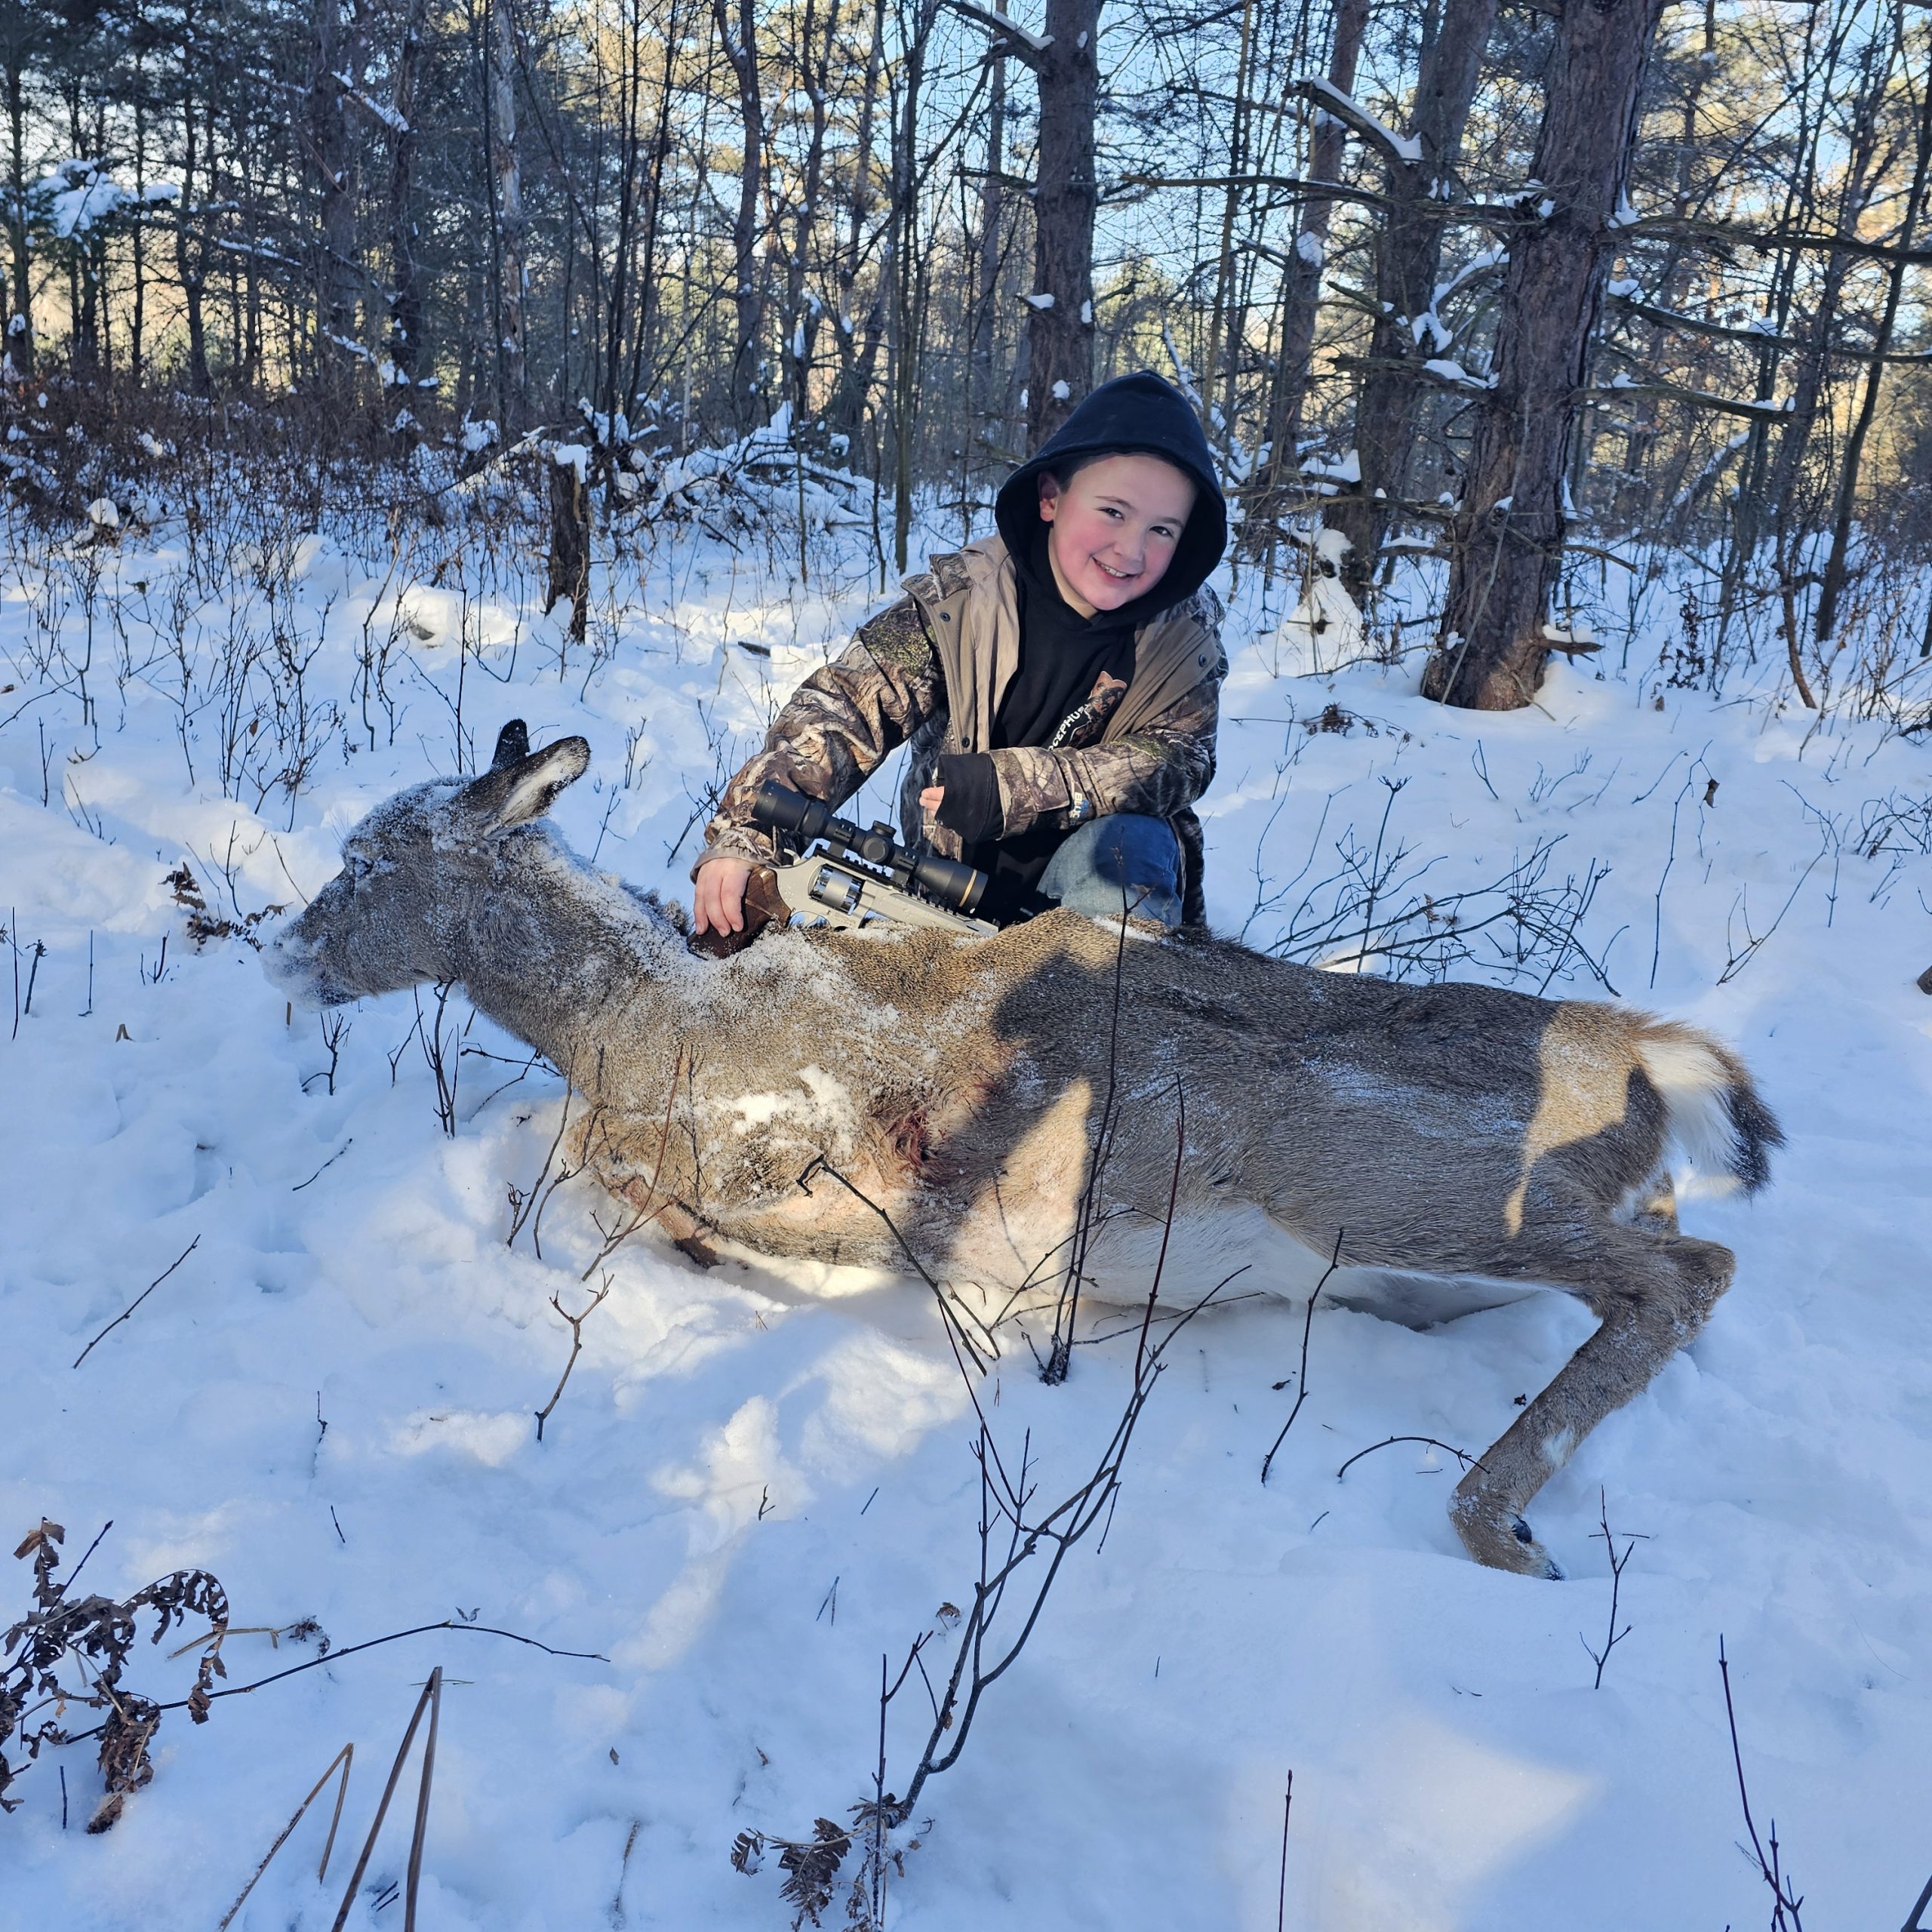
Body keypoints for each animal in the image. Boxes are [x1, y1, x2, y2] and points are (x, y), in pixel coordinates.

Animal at [266, 722, 1782, 1579]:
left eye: (369, 857)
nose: (278, 951)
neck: (633, 1020)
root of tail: (1654, 1057)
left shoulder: (807, 1133)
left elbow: (611, 1174)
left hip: (1398, 1179)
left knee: (1693, 1268)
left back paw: (1499, 1528)